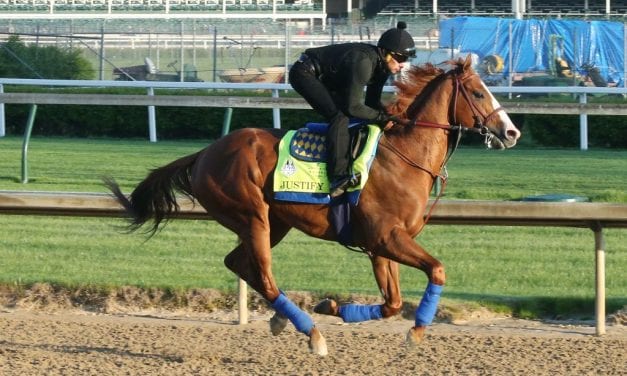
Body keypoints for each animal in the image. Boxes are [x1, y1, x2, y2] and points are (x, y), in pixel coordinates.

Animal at [106, 55, 520, 356]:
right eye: (478, 93)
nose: (511, 132)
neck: (404, 156)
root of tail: (205, 153)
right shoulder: (386, 238)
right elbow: (437, 271)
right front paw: (415, 332)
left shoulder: (380, 246)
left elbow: (392, 303)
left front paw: (333, 307)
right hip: (252, 216)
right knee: (263, 274)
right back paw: (311, 334)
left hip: (274, 223)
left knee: (238, 263)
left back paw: (283, 319)